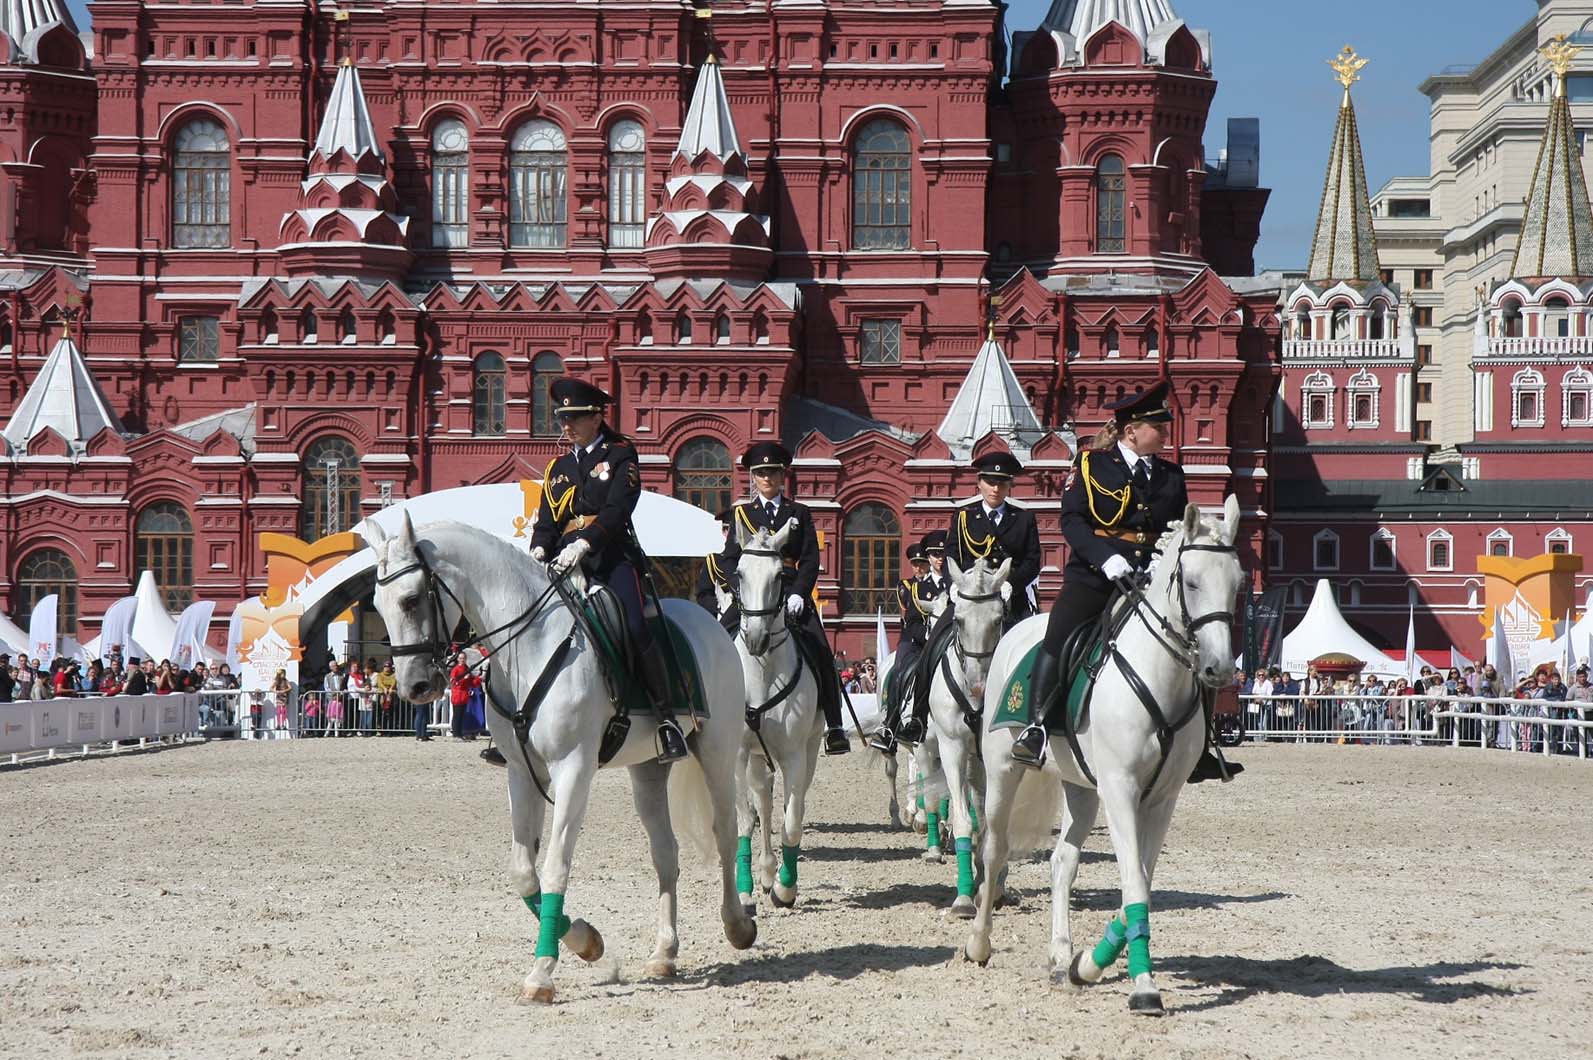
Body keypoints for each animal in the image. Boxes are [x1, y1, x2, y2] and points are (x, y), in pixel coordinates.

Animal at [364, 513, 755, 1001]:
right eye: (377, 605)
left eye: (412, 599)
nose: (413, 687)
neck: (529, 644)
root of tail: (710, 623)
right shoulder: (521, 772)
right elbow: (523, 872)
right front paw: (587, 941)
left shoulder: (573, 769)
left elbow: (554, 869)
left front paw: (542, 974)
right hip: (649, 769)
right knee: (665, 852)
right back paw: (664, 953)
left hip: (717, 751)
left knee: (726, 832)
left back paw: (738, 925)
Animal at [955, 497, 1242, 1007]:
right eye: (1190, 581)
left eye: (1239, 582)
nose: (1220, 668)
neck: (1159, 674)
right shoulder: (1121, 788)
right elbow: (1133, 882)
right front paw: (1143, 985)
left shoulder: (1162, 798)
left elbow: (1141, 882)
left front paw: (1086, 964)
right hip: (1004, 769)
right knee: (994, 849)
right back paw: (980, 941)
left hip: (1081, 787)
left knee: (1062, 862)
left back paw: (1059, 952)